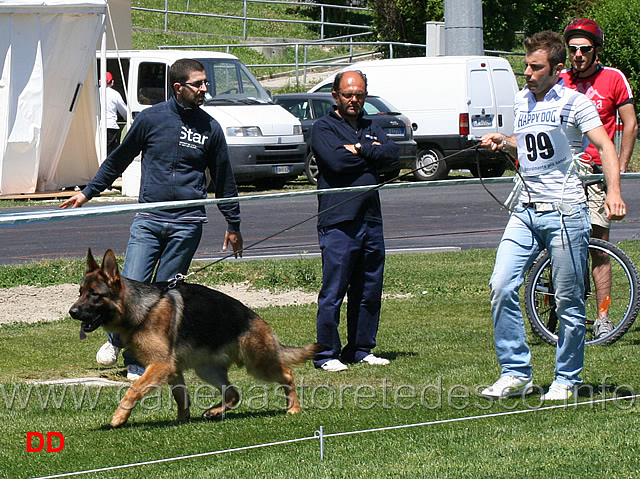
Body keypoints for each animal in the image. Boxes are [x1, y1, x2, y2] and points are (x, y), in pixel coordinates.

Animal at [69, 249, 318, 430]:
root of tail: (256, 318)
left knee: (287, 374)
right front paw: (182, 420)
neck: (143, 309)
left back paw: (293, 408)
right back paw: (214, 411)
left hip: (258, 363)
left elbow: (134, 389)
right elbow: (181, 397)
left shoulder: (160, 366)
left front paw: (119, 417)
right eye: (80, 292)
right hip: (207, 370)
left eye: (94, 294)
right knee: (233, 393)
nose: (72, 312)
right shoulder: (172, 370)